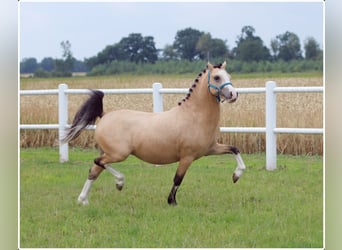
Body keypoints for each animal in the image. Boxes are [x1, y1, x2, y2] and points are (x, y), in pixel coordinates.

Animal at [61, 62, 246, 205]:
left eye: (228, 75)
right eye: (217, 77)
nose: (233, 94)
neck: (194, 116)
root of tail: (105, 115)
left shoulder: (211, 149)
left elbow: (235, 149)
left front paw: (236, 176)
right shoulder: (187, 157)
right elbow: (178, 178)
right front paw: (172, 202)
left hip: (110, 153)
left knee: (94, 169)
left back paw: (83, 200)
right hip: (118, 154)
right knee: (97, 162)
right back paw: (119, 182)